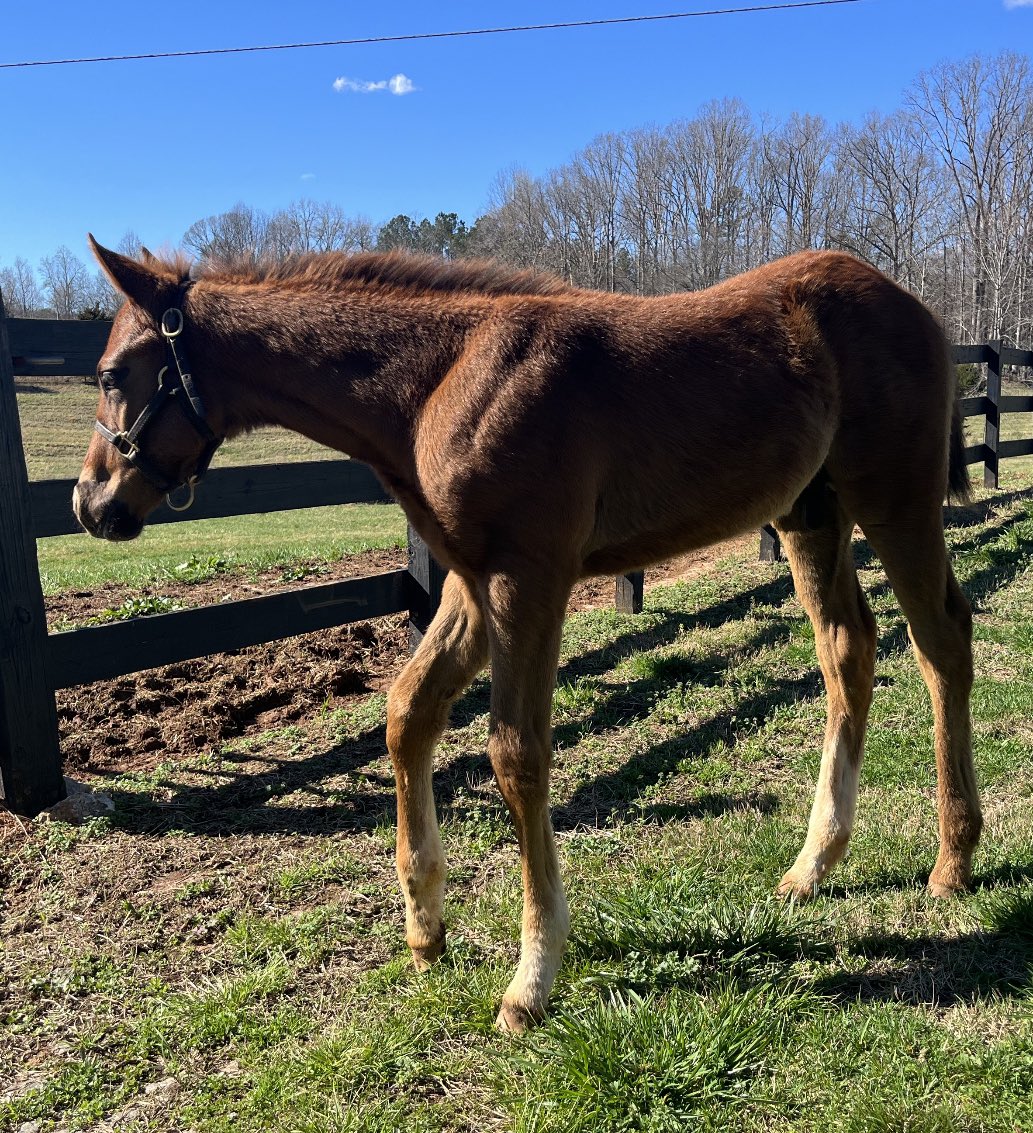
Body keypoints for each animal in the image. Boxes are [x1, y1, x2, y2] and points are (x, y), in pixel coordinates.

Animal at [75, 238, 980, 1032]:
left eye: (113, 374)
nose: (90, 503)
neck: (441, 379)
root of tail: (912, 304)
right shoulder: (471, 584)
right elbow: (407, 712)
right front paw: (424, 927)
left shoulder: (528, 578)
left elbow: (515, 754)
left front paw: (531, 979)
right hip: (808, 512)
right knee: (847, 652)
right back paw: (812, 864)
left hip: (895, 501)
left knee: (941, 642)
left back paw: (953, 858)